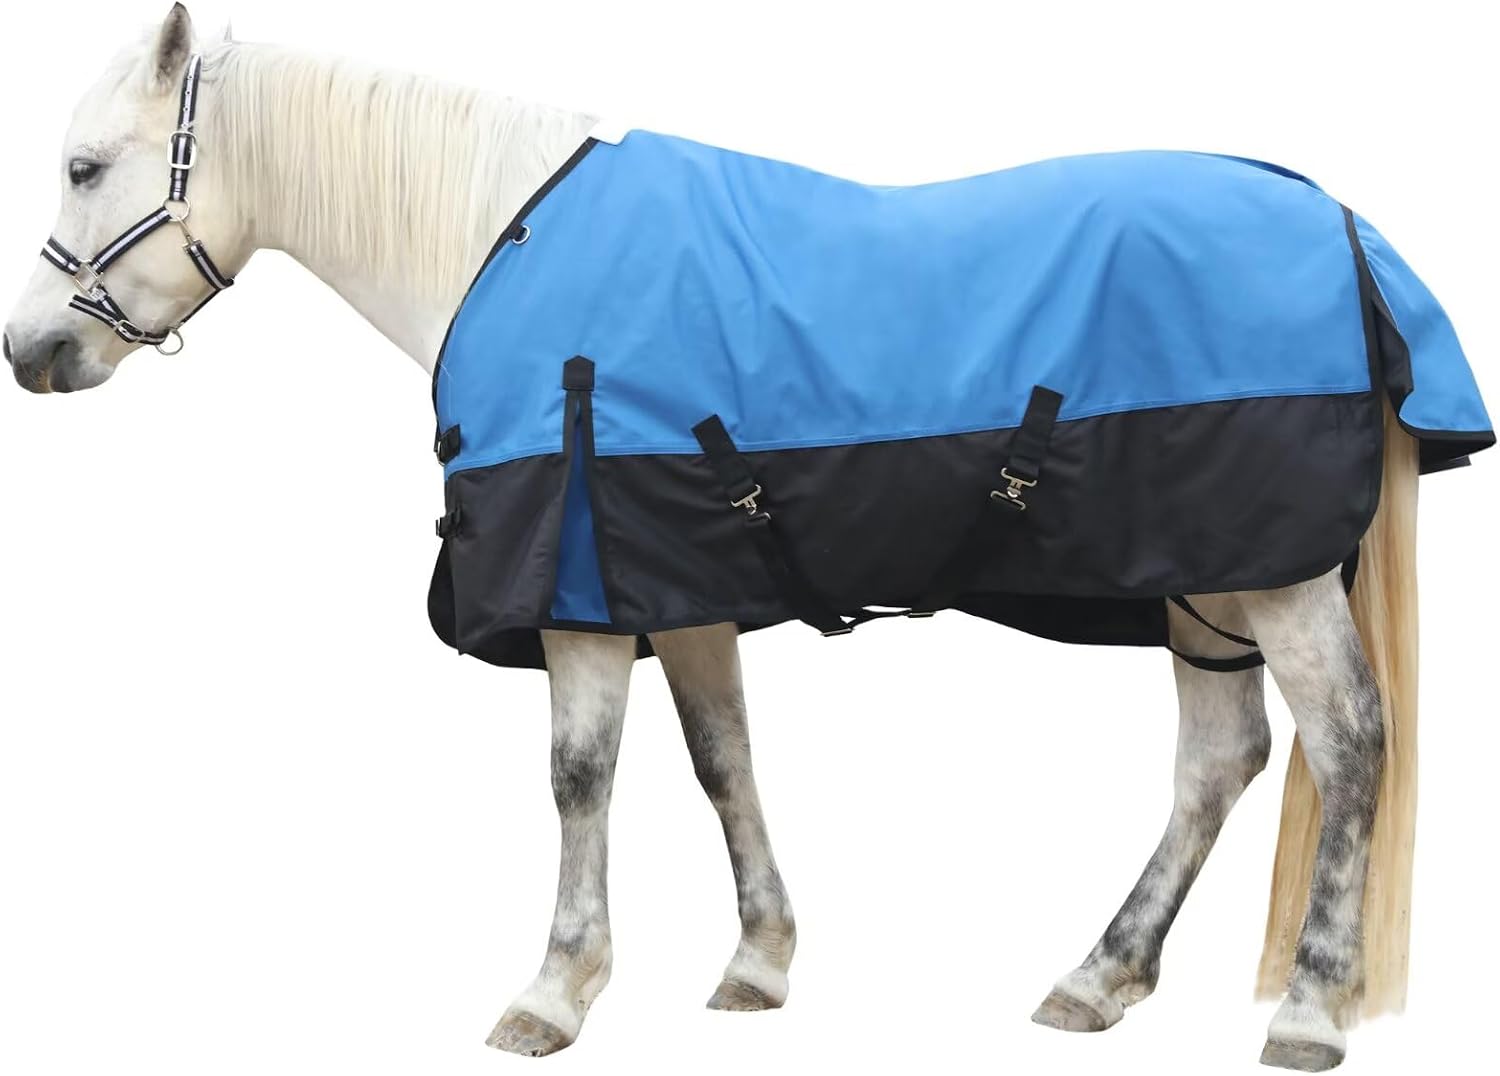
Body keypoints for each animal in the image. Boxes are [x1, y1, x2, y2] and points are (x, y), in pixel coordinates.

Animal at [4, 6, 1481, 1069]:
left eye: (83, 167)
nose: (31, 354)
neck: (500, 238)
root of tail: (1348, 233)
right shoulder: (679, 578)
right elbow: (721, 759)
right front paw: (758, 963)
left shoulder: (583, 588)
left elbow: (578, 775)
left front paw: (555, 989)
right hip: (1200, 579)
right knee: (1221, 757)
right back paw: (1098, 976)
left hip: (1272, 575)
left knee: (1351, 742)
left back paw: (1307, 1013)